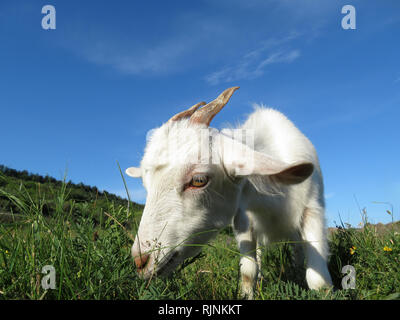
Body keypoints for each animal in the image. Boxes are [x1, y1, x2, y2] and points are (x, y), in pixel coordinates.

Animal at [126, 87, 332, 298]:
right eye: (145, 184)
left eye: (199, 180)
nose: (141, 262)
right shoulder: (243, 218)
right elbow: (248, 272)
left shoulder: (312, 209)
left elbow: (318, 281)